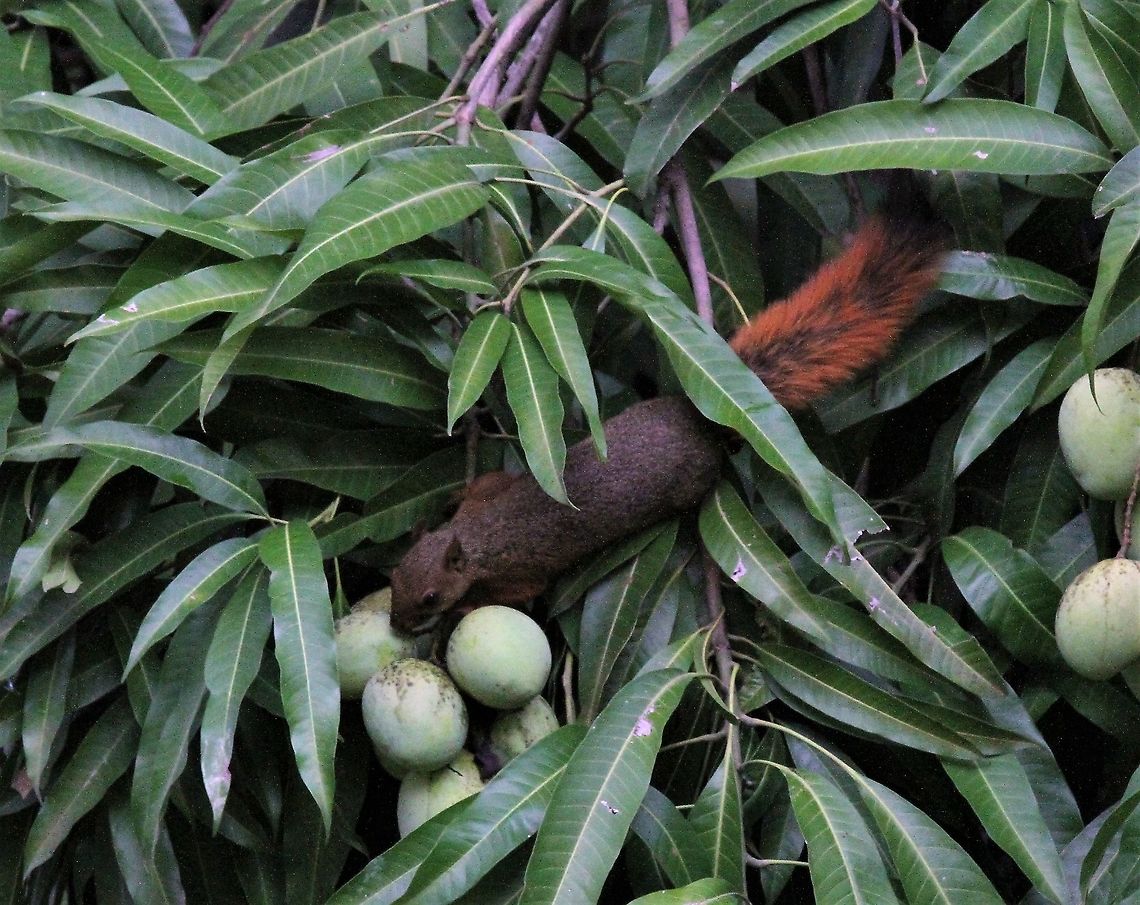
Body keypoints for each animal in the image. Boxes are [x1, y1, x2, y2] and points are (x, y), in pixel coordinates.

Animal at [389, 202, 950, 632]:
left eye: (431, 597)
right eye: (393, 577)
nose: (397, 623)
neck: (480, 538)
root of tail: (699, 420)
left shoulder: (520, 573)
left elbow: (513, 594)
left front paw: (460, 608)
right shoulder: (488, 497)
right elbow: (483, 483)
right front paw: (448, 496)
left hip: (692, 483)